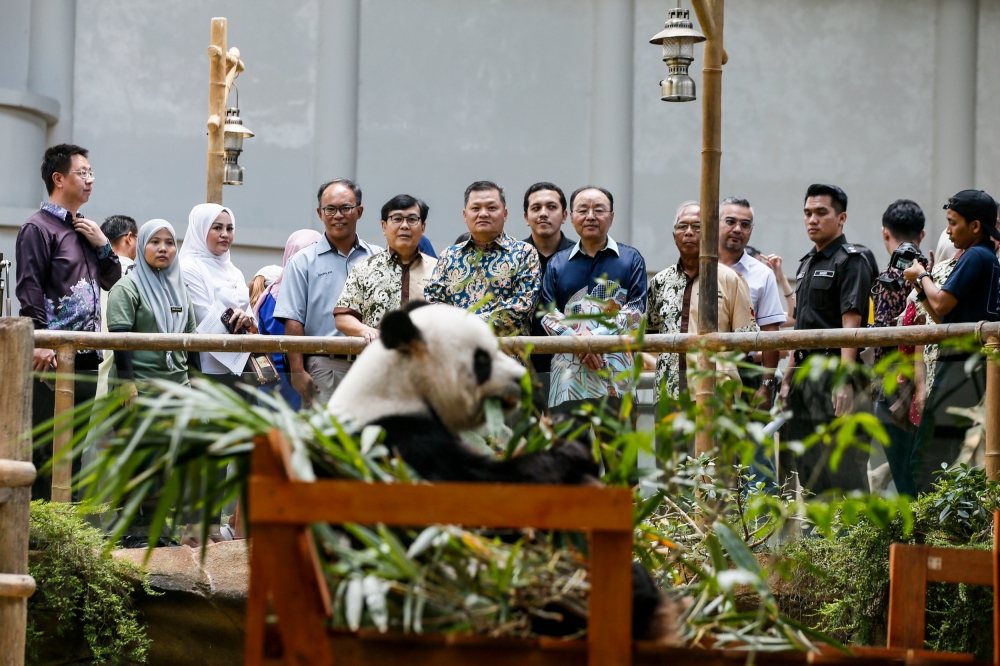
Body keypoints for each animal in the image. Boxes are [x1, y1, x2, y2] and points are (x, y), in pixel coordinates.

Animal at [332, 302, 684, 644]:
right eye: (482, 359)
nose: (521, 380)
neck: (397, 387)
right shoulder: (396, 446)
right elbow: (490, 502)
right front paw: (570, 452)